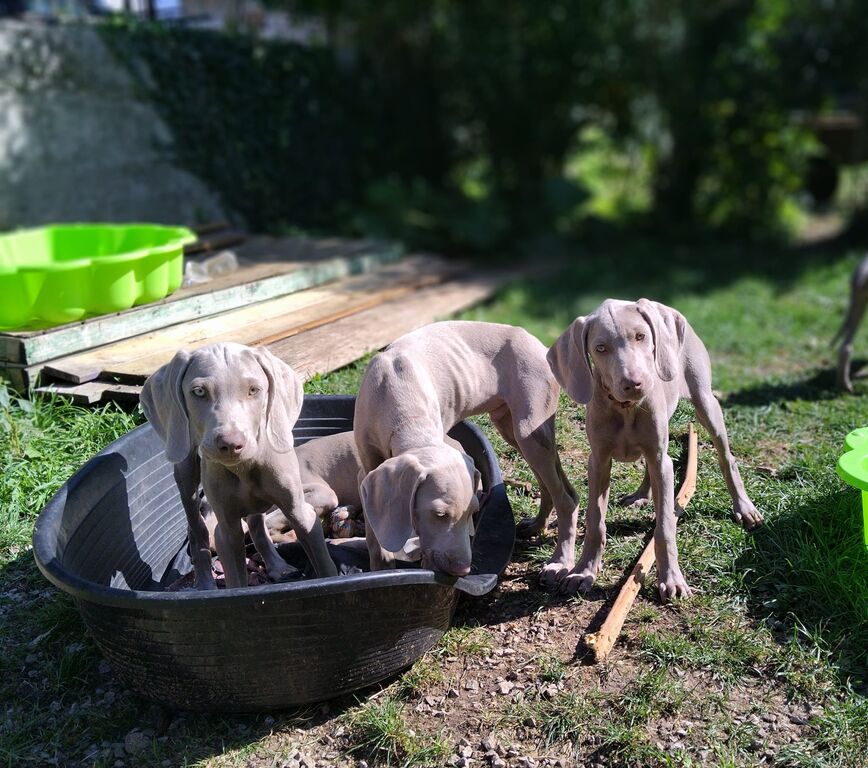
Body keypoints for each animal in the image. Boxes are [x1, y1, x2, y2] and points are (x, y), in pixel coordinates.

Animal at [141, 342, 338, 588]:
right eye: (199, 391)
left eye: (254, 390)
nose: (230, 444)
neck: (243, 468)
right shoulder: (227, 530)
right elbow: (236, 582)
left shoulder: (301, 513)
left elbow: (325, 565)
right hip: (185, 470)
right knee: (197, 531)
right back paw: (205, 583)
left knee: (256, 524)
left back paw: (278, 566)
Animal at [356, 320, 580, 584]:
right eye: (439, 514)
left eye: (473, 512)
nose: (463, 570)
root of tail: (541, 346)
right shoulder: (366, 469)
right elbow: (374, 532)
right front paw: (381, 568)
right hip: (514, 430)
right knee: (553, 486)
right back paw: (537, 525)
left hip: (529, 431)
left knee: (565, 497)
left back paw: (561, 562)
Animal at [548, 298, 760, 600]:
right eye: (600, 348)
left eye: (641, 336)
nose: (634, 384)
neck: (625, 409)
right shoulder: (598, 461)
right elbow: (595, 521)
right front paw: (583, 571)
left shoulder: (663, 461)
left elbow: (665, 527)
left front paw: (671, 579)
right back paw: (641, 495)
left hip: (706, 402)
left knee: (725, 456)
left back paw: (744, 507)